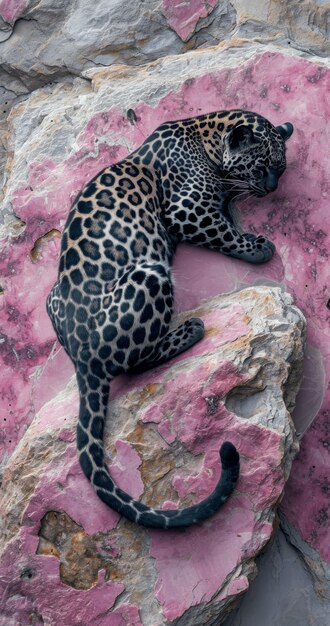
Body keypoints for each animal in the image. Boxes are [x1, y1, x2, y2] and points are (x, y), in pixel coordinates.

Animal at [47, 108, 294, 528]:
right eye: (261, 166)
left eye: (280, 167)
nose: (271, 188)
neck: (204, 134)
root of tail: (82, 358)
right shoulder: (187, 211)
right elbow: (226, 233)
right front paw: (258, 248)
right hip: (149, 272)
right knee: (133, 362)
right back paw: (189, 330)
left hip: (52, 299)